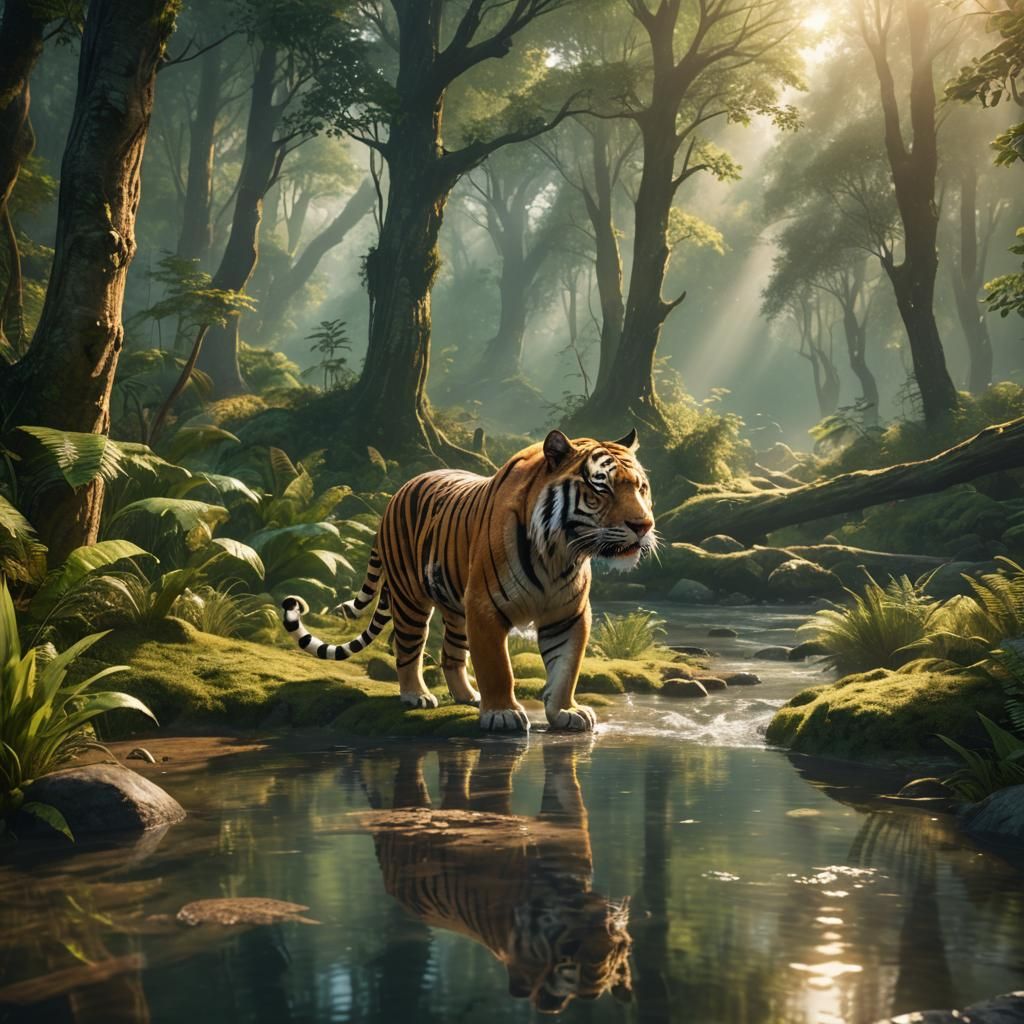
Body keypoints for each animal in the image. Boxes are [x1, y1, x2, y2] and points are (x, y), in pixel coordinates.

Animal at [281, 428, 656, 733]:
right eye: (601, 489)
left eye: (641, 488)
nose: (644, 525)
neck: (557, 553)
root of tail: (394, 496)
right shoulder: (485, 608)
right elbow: (497, 666)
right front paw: (503, 714)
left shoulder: (569, 615)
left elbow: (567, 667)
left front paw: (567, 711)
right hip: (411, 599)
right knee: (407, 649)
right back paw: (416, 696)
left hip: (457, 608)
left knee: (450, 654)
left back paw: (467, 695)